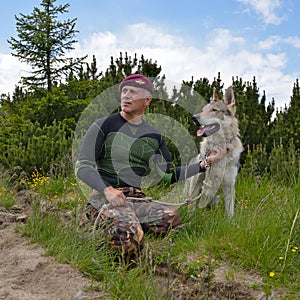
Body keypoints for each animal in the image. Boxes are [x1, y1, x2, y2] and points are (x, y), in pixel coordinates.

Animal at [185, 85, 244, 217]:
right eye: (203, 110)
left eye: (214, 110)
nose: (193, 117)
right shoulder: (198, 184)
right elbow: (191, 209)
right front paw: (189, 218)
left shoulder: (229, 186)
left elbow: (230, 213)